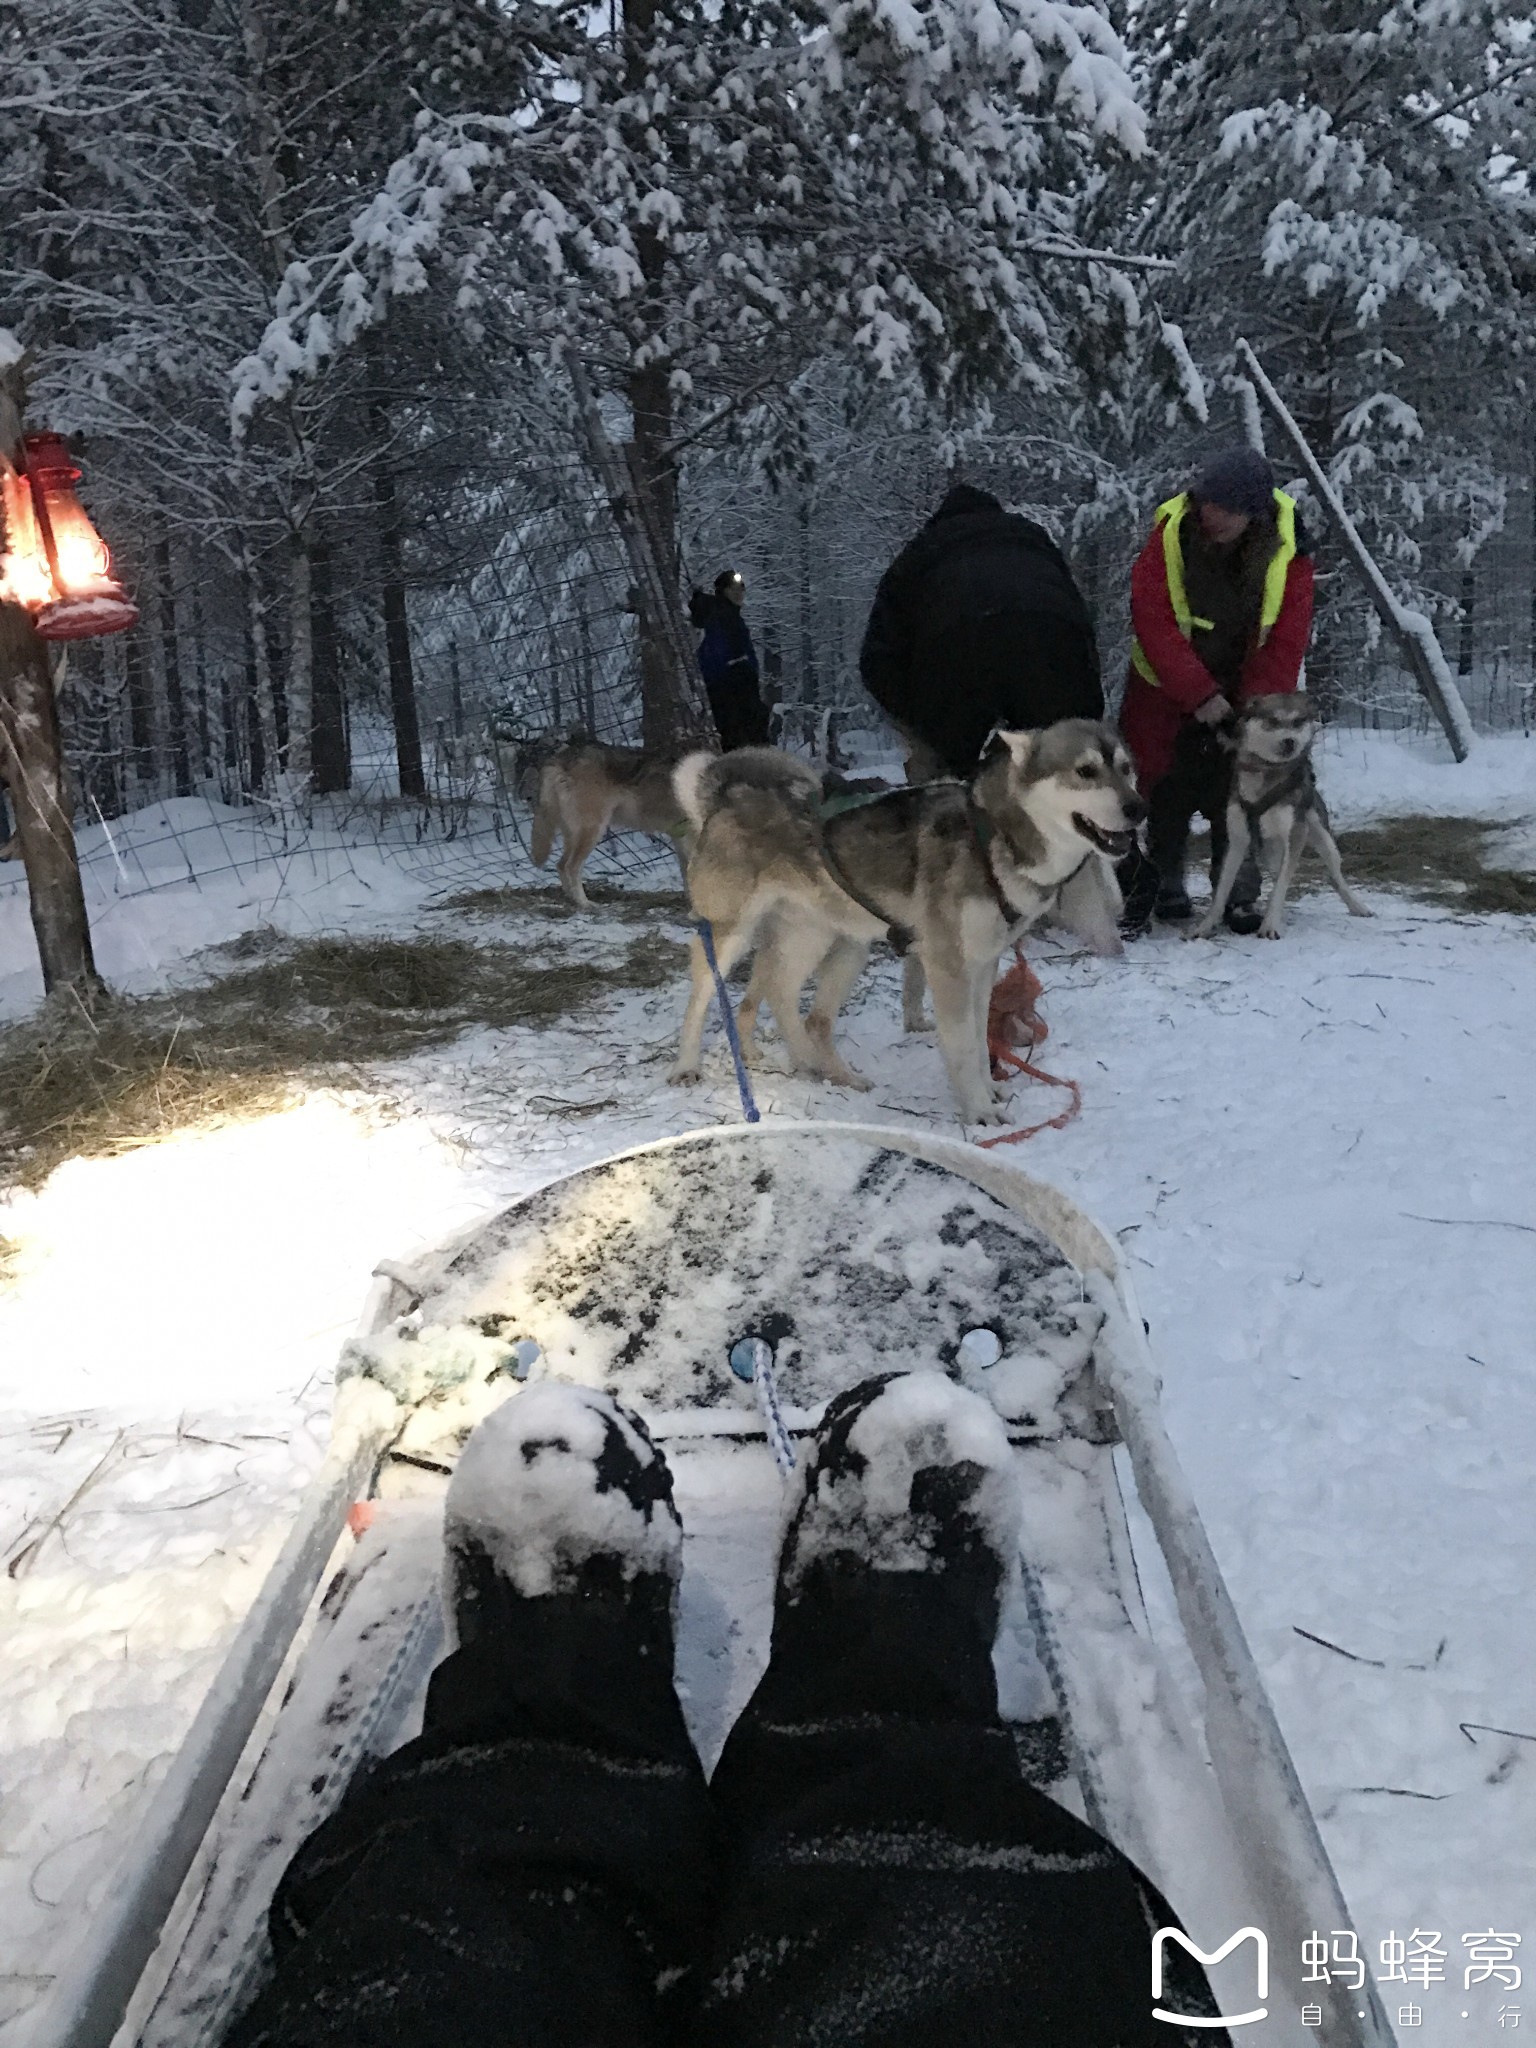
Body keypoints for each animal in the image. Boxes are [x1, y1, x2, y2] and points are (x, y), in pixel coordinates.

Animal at [536, 729, 692, 905]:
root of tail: (561, 757)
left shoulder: (681, 836)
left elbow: (686, 873)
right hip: (593, 831)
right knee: (571, 866)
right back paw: (585, 903)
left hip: (573, 833)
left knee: (560, 865)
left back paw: (572, 900)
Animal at [671, 724, 1146, 1122]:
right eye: (1085, 771)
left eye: (1127, 769)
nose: (1138, 809)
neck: (994, 835)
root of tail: (726, 796)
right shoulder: (948, 965)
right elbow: (961, 1046)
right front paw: (979, 1112)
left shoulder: (982, 964)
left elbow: (979, 1040)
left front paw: (989, 1090)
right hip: (731, 934)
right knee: (705, 992)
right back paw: (687, 1066)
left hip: (826, 940)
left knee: (790, 1001)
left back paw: (824, 1070)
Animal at [1196, 692, 1376, 937]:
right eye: (1272, 721)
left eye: (1298, 721)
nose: (1290, 741)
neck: (1265, 771)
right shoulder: (1237, 839)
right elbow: (1223, 889)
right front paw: (1204, 926)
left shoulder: (1295, 834)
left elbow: (1281, 885)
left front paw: (1270, 924)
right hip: (1272, 849)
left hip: (1324, 841)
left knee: (1333, 876)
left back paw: (1358, 906)